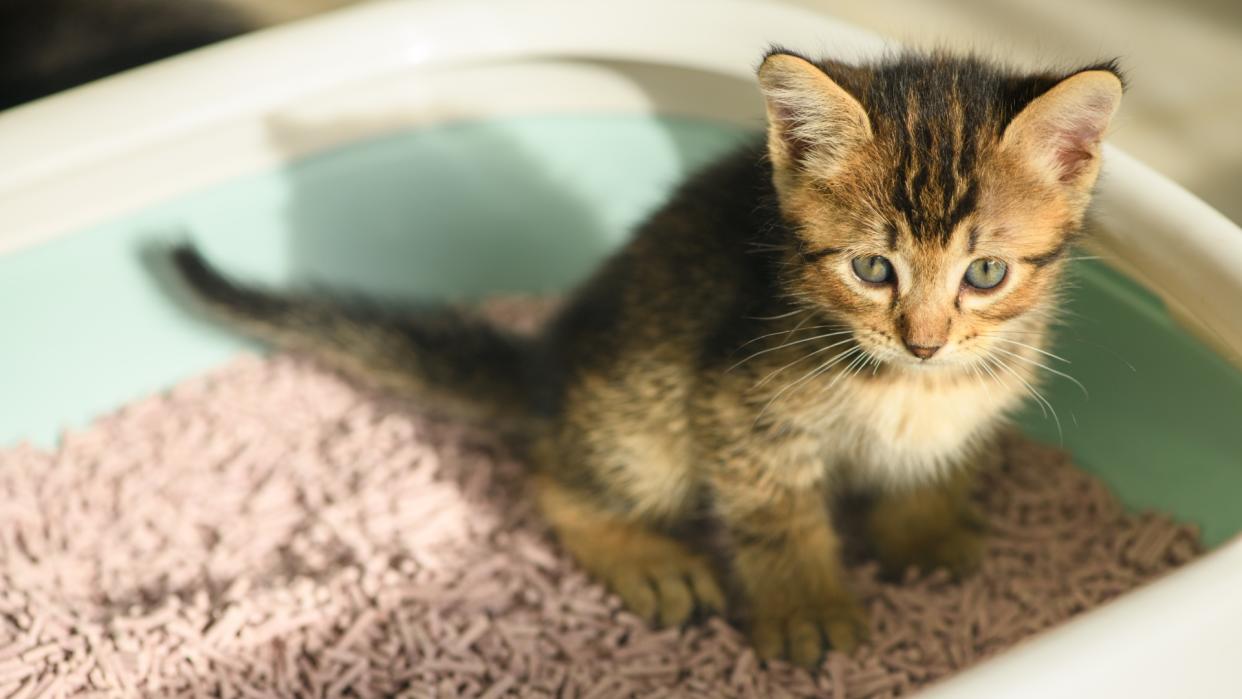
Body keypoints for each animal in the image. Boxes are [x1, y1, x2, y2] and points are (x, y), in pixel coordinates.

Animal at [165, 47, 1127, 665]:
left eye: (987, 273)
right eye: (871, 268)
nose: (924, 339)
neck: (904, 382)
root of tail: (548, 369)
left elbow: (928, 465)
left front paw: (924, 526)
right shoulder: (738, 406)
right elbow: (776, 515)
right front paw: (806, 606)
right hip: (646, 414)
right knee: (554, 475)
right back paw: (645, 554)